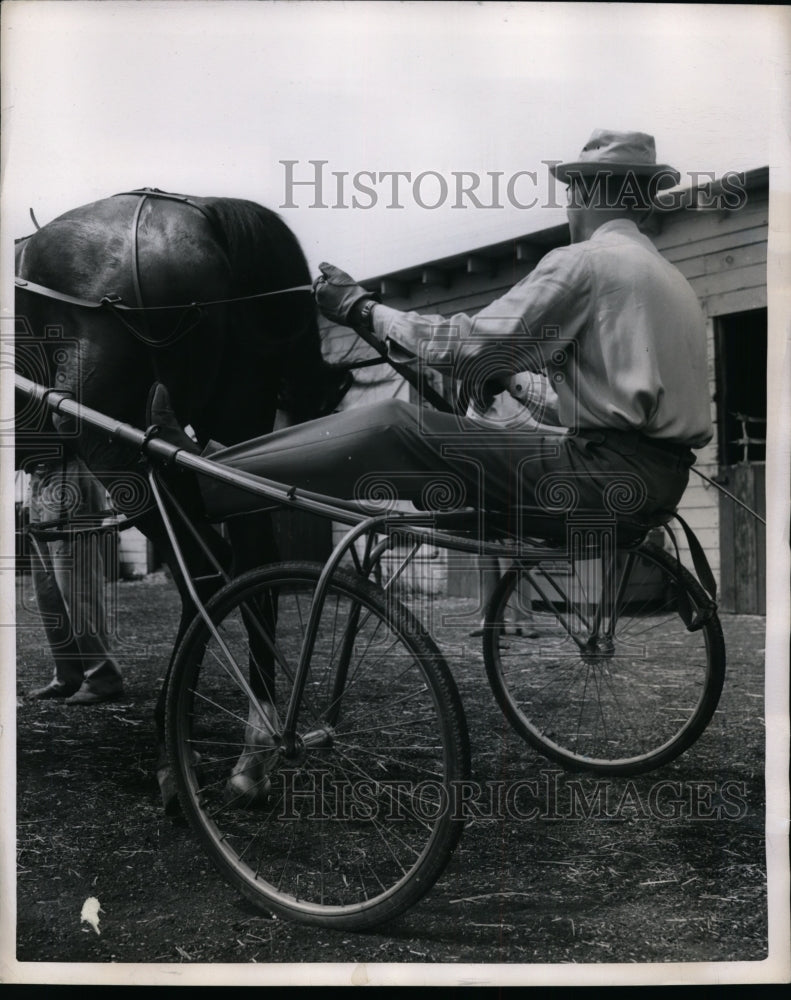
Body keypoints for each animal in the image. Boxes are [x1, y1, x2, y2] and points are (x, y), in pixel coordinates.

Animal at [13, 188, 354, 812]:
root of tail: (204, 212)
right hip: (235, 426)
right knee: (242, 565)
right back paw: (252, 753)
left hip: (122, 448)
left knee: (203, 569)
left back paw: (179, 755)